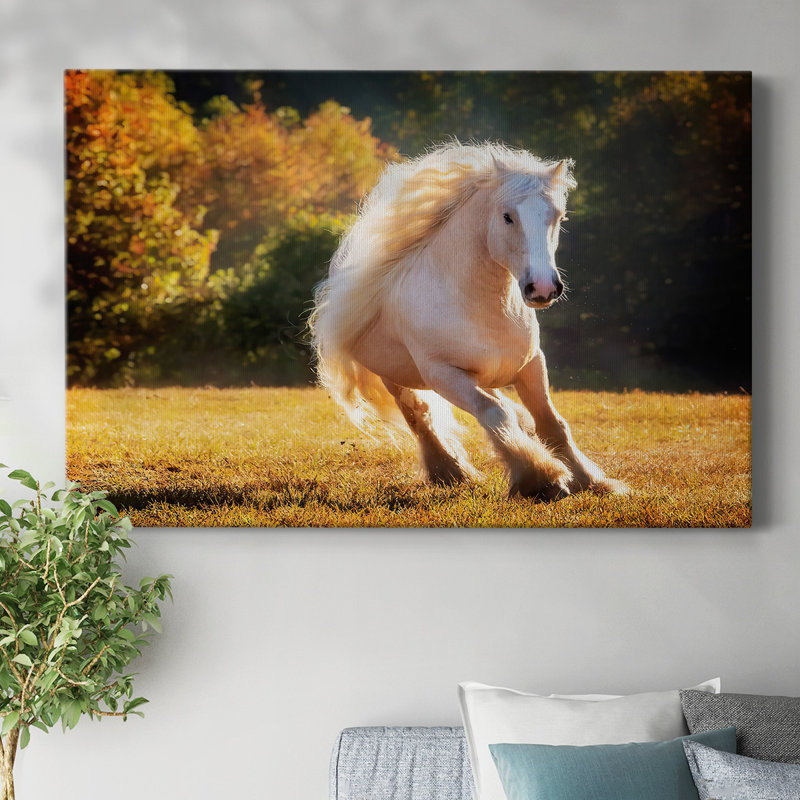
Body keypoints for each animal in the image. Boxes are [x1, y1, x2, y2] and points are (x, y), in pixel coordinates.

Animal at [310, 141, 627, 501]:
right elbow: (494, 414)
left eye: (558, 217)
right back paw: (450, 471)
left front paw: (591, 480)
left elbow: (550, 422)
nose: (543, 288)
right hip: (394, 377)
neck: (482, 306)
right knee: (420, 415)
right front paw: (541, 478)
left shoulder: (531, 364)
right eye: (507, 216)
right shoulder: (445, 375)